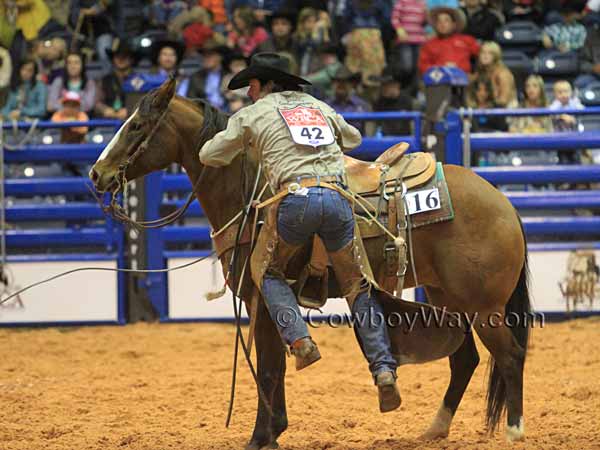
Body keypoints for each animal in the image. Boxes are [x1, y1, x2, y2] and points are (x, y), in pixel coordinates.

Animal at [89, 79, 528, 448]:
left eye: (136, 125)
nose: (96, 173)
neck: (251, 196)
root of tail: (504, 203)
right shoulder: (267, 302)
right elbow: (275, 366)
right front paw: (274, 430)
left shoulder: (261, 296)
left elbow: (268, 368)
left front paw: (260, 437)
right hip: (446, 299)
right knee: (465, 359)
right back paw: (435, 428)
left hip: (483, 306)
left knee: (510, 356)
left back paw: (514, 429)